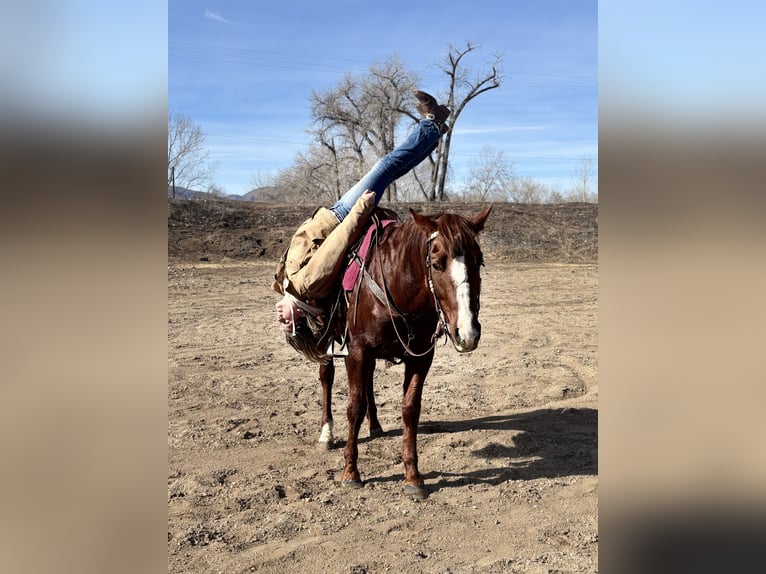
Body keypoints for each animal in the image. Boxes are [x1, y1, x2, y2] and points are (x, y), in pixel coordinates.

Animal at [317, 205, 492, 498]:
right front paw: (351, 471)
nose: (467, 332)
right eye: (437, 264)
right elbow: (354, 406)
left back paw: (375, 425)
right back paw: (326, 433)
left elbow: (410, 408)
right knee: (326, 377)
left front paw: (413, 476)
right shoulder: (357, 350)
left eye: (478, 261)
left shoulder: (421, 356)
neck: (398, 287)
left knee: (368, 381)